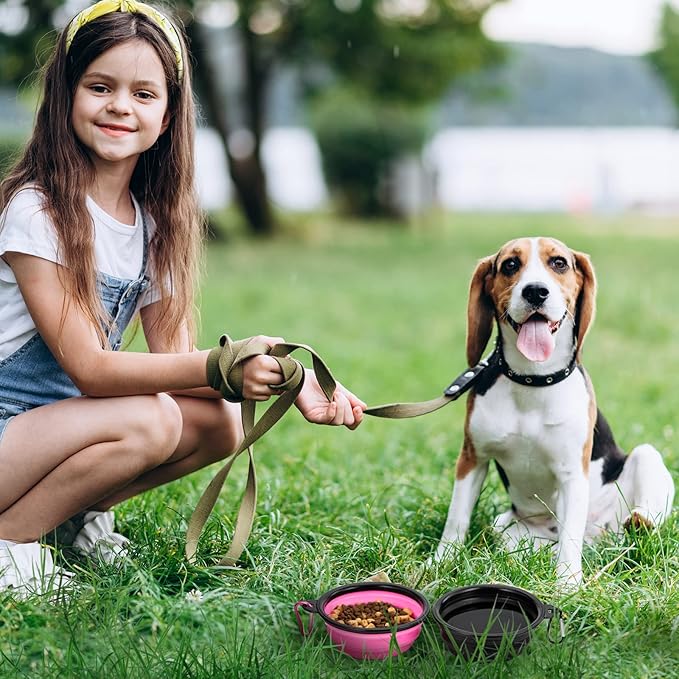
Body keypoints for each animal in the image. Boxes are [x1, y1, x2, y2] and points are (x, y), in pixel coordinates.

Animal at [436, 238, 676, 584]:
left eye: (559, 263)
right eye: (510, 265)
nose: (536, 291)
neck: (532, 379)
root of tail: (598, 537)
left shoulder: (572, 473)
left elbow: (569, 538)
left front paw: (567, 585)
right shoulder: (472, 459)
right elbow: (456, 520)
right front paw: (438, 565)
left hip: (646, 457)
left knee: (636, 524)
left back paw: (638, 523)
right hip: (503, 528)